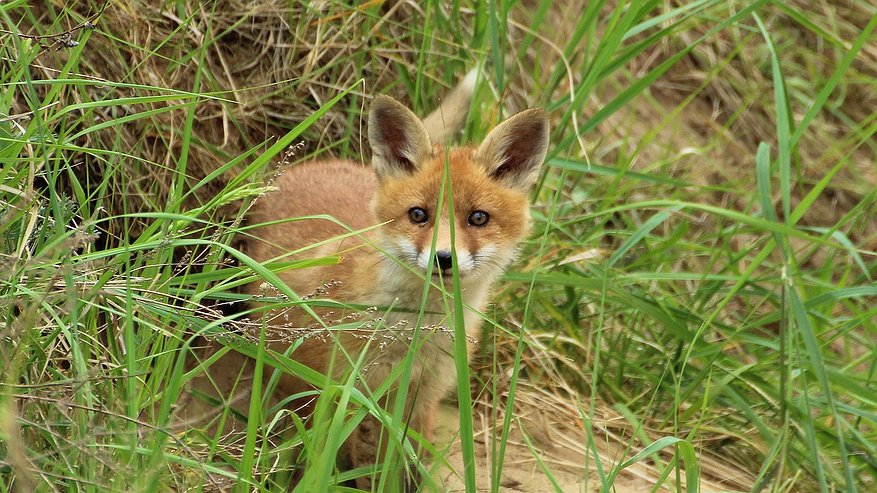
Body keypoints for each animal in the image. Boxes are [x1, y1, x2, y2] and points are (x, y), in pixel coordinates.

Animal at [234, 75, 548, 486]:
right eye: (418, 215)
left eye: (478, 218)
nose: (443, 258)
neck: (413, 334)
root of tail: (311, 165)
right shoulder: (344, 387)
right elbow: (345, 462)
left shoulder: (423, 394)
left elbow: (410, 465)